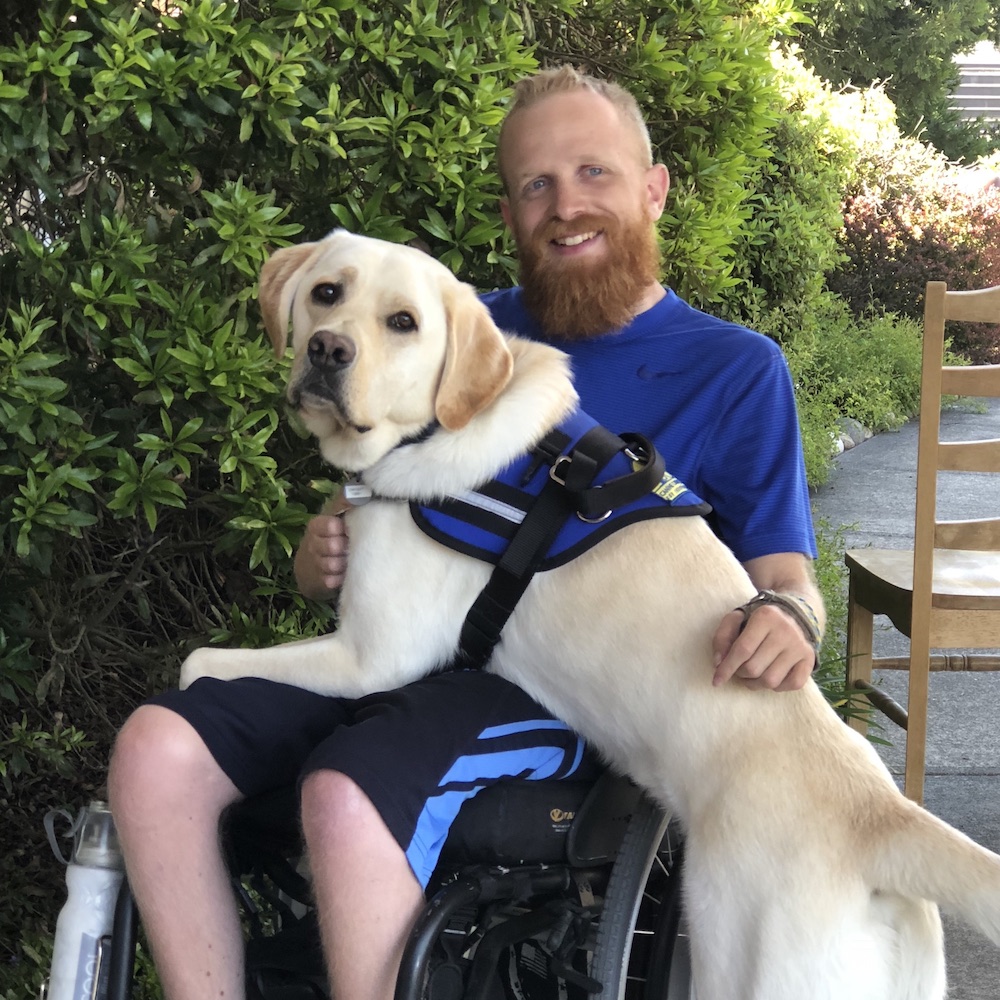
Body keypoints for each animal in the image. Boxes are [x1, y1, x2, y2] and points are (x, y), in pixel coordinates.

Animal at [182, 229, 1000, 1000]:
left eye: (403, 323)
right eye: (327, 292)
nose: (327, 349)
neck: (443, 427)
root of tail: (883, 820)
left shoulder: (369, 658)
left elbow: (195, 662)